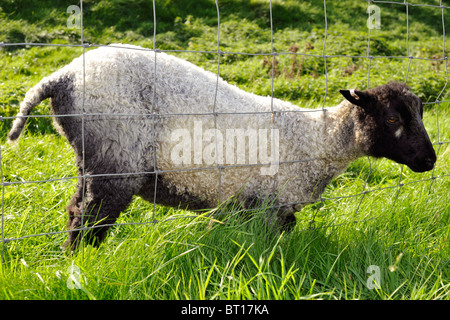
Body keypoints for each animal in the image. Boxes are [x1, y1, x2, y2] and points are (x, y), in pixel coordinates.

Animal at [7, 44, 436, 250]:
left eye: (419, 112)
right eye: (393, 120)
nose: (431, 160)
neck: (319, 139)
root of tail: (62, 76)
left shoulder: (255, 207)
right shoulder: (267, 205)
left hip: (94, 159)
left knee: (77, 211)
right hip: (115, 158)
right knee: (88, 220)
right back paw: (81, 263)